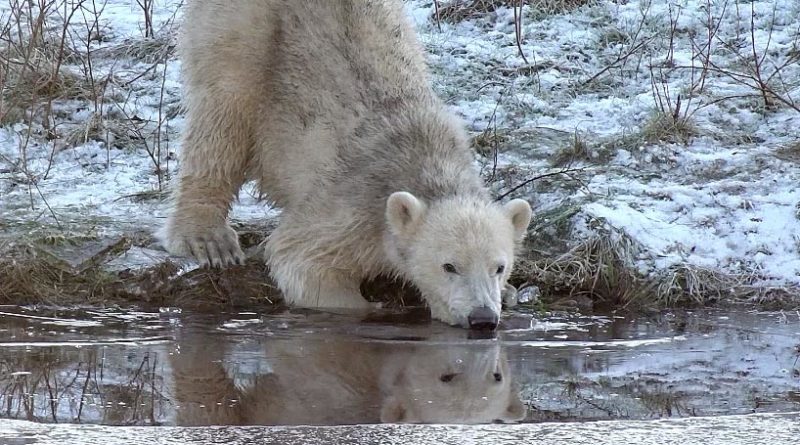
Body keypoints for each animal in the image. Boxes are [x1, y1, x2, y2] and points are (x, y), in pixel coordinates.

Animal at [159, 0, 532, 328]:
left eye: (499, 267)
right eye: (449, 266)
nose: (482, 318)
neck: (429, 159)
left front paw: (510, 294)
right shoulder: (354, 211)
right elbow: (298, 258)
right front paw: (375, 308)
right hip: (242, 25)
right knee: (225, 106)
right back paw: (208, 238)